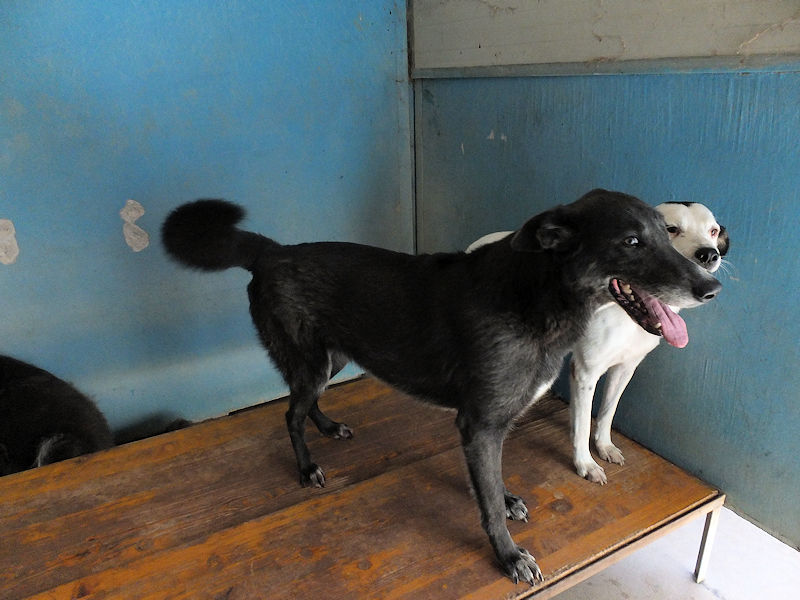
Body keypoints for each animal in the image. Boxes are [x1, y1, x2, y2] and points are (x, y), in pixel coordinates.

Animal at [468, 201, 729, 485]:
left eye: (713, 231)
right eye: (672, 229)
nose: (709, 255)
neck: (624, 317)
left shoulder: (625, 368)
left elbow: (606, 412)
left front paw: (604, 446)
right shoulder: (585, 372)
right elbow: (582, 425)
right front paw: (585, 463)